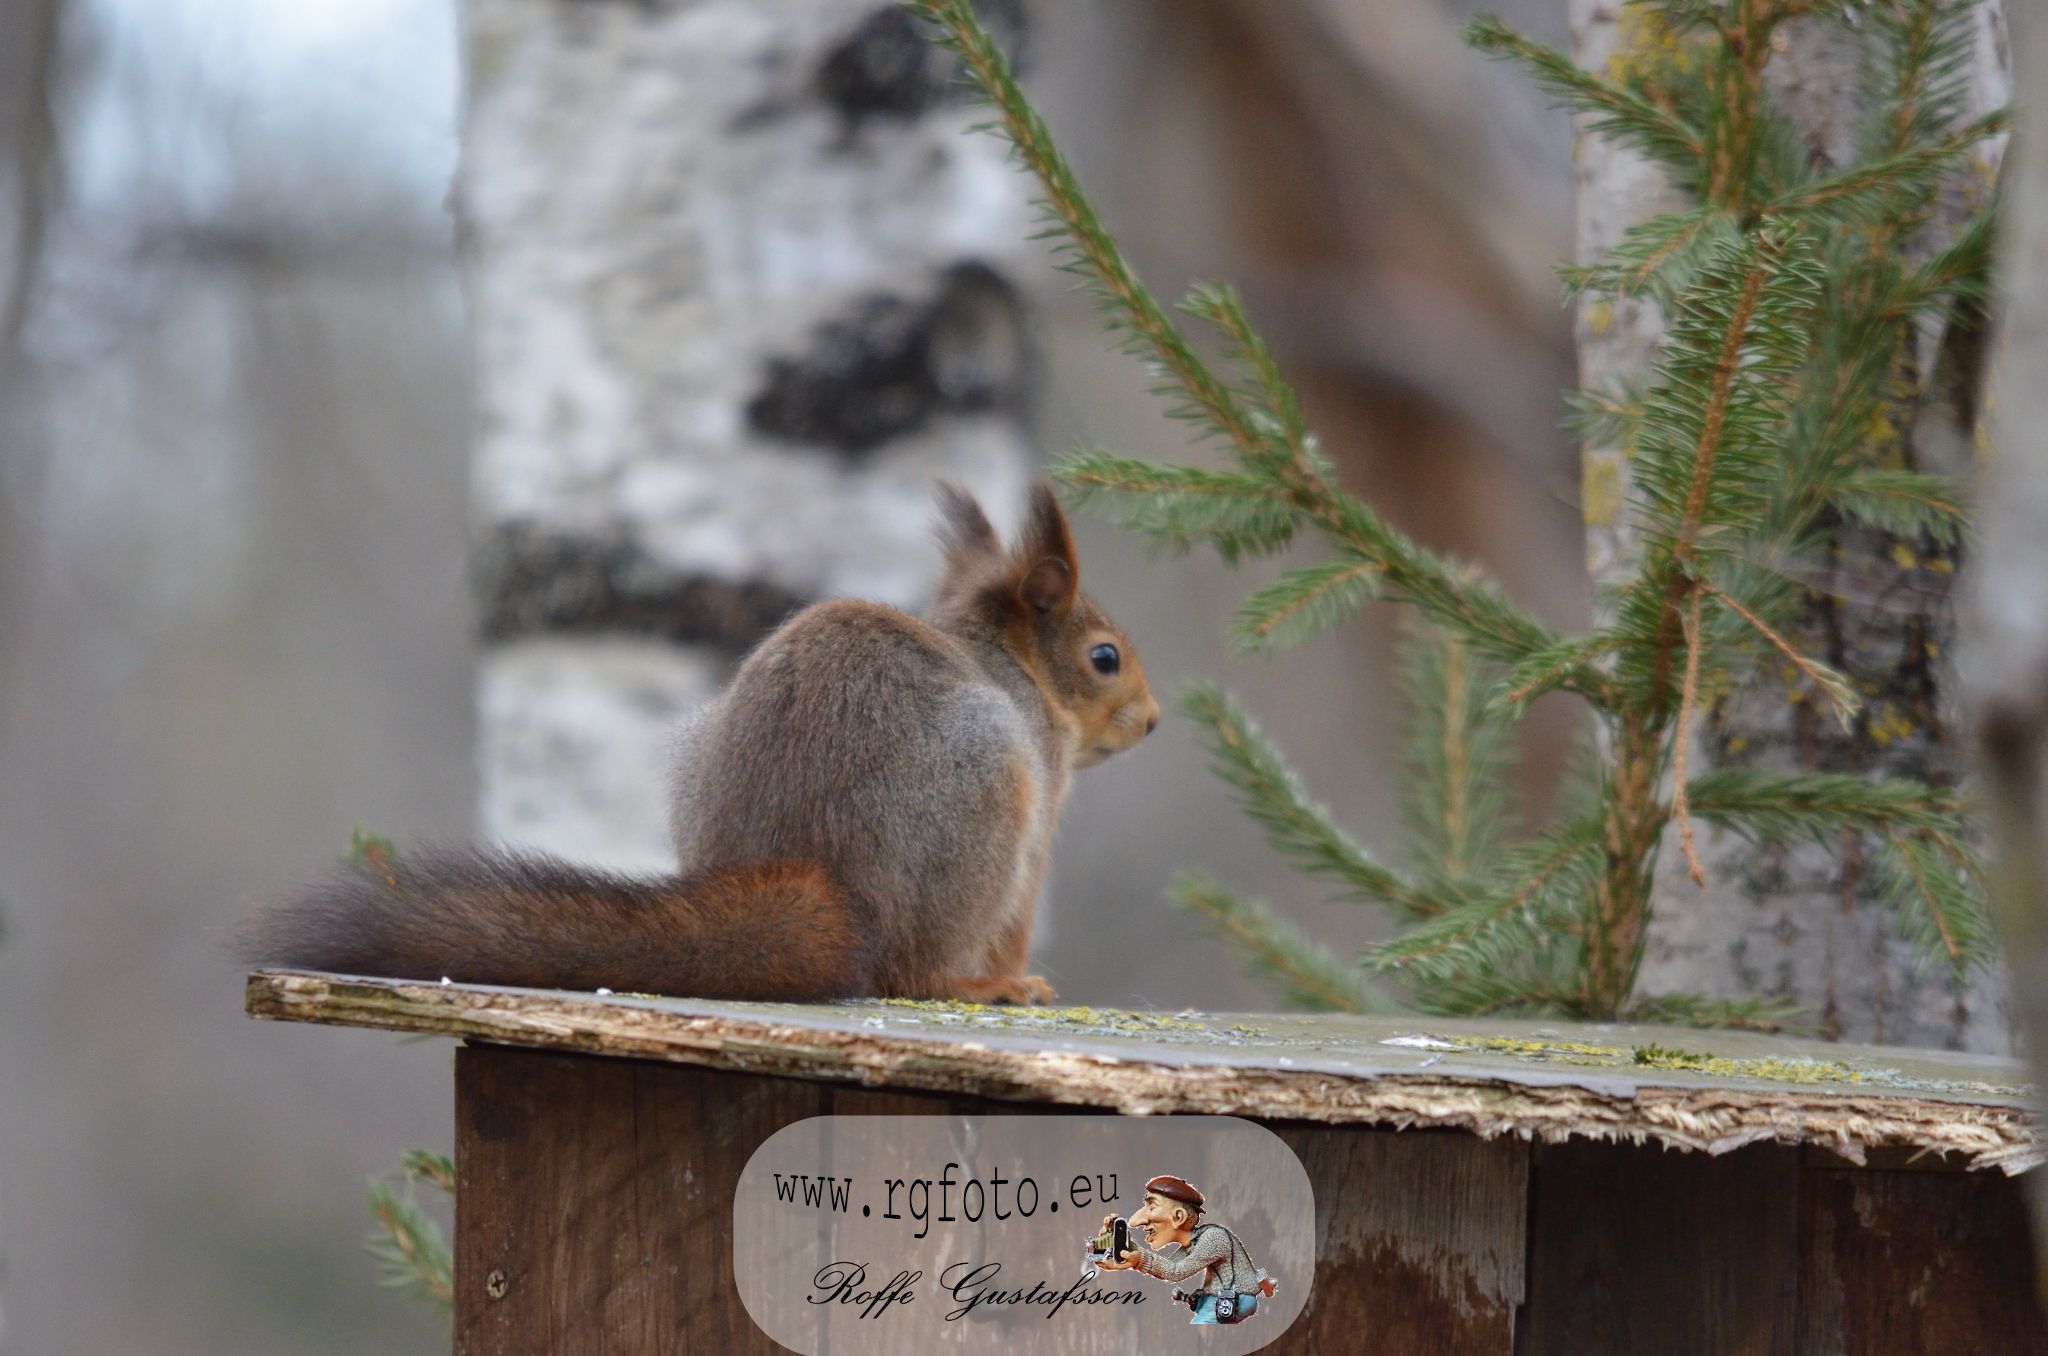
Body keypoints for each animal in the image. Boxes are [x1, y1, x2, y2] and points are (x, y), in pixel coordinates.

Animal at [239, 483, 1163, 1003]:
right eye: (1104, 658)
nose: (1153, 721)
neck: (1011, 661)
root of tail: (824, 877)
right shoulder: (1040, 791)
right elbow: (1020, 913)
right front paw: (1019, 976)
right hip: (988, 787)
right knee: (911, 972)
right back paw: (983, 985)